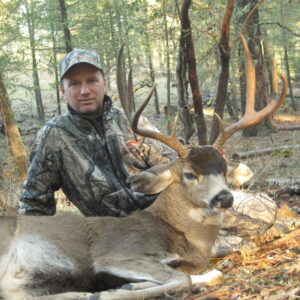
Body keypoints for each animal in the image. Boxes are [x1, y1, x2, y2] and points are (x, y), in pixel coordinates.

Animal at [0, 34, 288, 298]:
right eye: (189, 174)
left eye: (224, 171)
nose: (224, 197)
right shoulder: (119, 252)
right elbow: (183, 279)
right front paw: (115, 290)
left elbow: (209, 274)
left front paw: (126, 285)